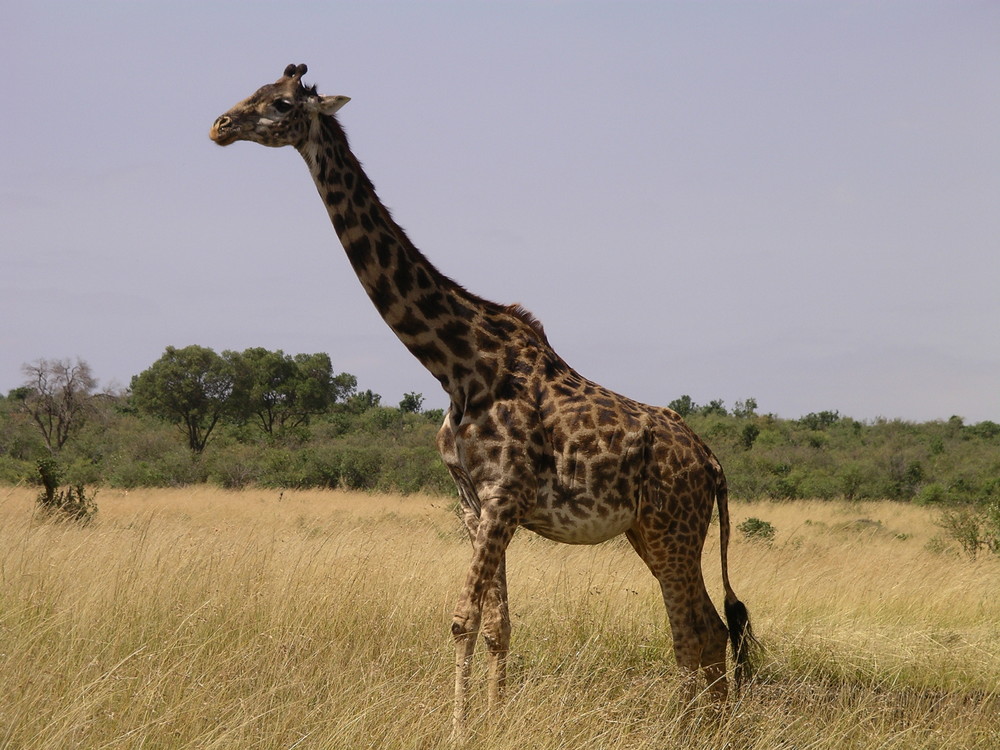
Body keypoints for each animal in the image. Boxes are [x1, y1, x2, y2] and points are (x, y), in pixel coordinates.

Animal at [213, 66, 756, 740]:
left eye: (282, 103)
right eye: (254, 91)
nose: (219, 126)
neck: (457, 362)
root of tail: (711, 462)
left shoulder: (504, 494)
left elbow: (462, 619)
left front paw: (459, 729)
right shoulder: (475, 503)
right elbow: (499, 623)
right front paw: (494, 720)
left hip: (672, 526)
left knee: (698, 629)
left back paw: (693, 732)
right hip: (650, 531)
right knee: (706, 629)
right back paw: (706, 728)